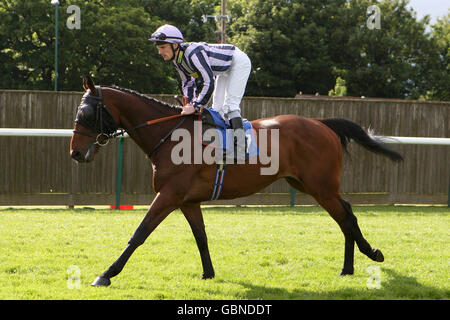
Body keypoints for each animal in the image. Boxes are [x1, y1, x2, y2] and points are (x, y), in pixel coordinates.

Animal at [71, 75, 404, 288]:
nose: (75, 152)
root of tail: (322, 123)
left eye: (85, 113)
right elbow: (201, 238)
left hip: (320, 186)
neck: (170, 136)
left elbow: (139, 233)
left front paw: (106, 274)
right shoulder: (188, 201)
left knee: (347, 215)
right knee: (344, 215)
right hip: (306, 184)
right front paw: (208, 274)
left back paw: (370, 254)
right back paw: (348, 267)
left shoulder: (168, 195)